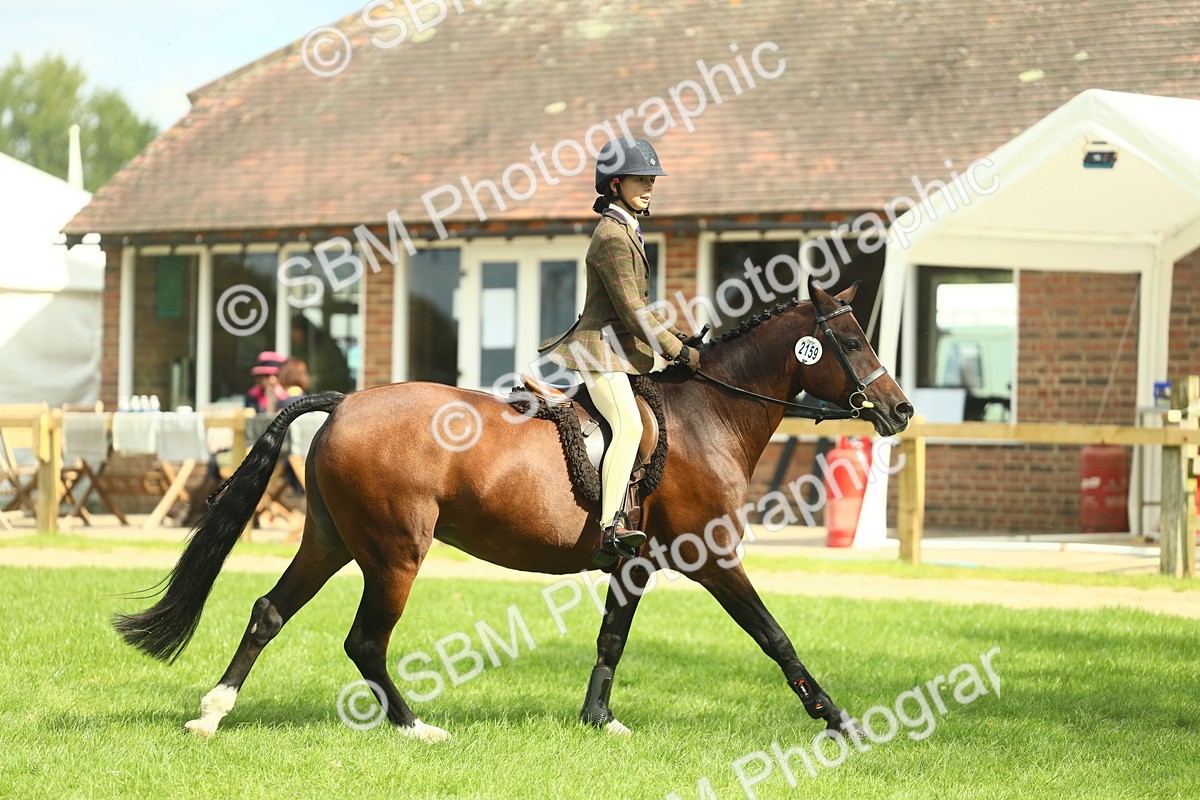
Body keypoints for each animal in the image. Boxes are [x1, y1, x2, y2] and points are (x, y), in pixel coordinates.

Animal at [113, 275, 913, 742]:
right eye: (850, 338)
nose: (901, 410)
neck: (707, 414)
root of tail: (344, 403)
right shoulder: (712, 558)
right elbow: (775, 636)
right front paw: (838, 718)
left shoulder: (636, 564)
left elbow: (611, 640)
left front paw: (598, 720)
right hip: (395, 553)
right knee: (365, 642)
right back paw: (416, 727)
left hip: (332, 541)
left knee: (269, 612)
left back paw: (213, 713)